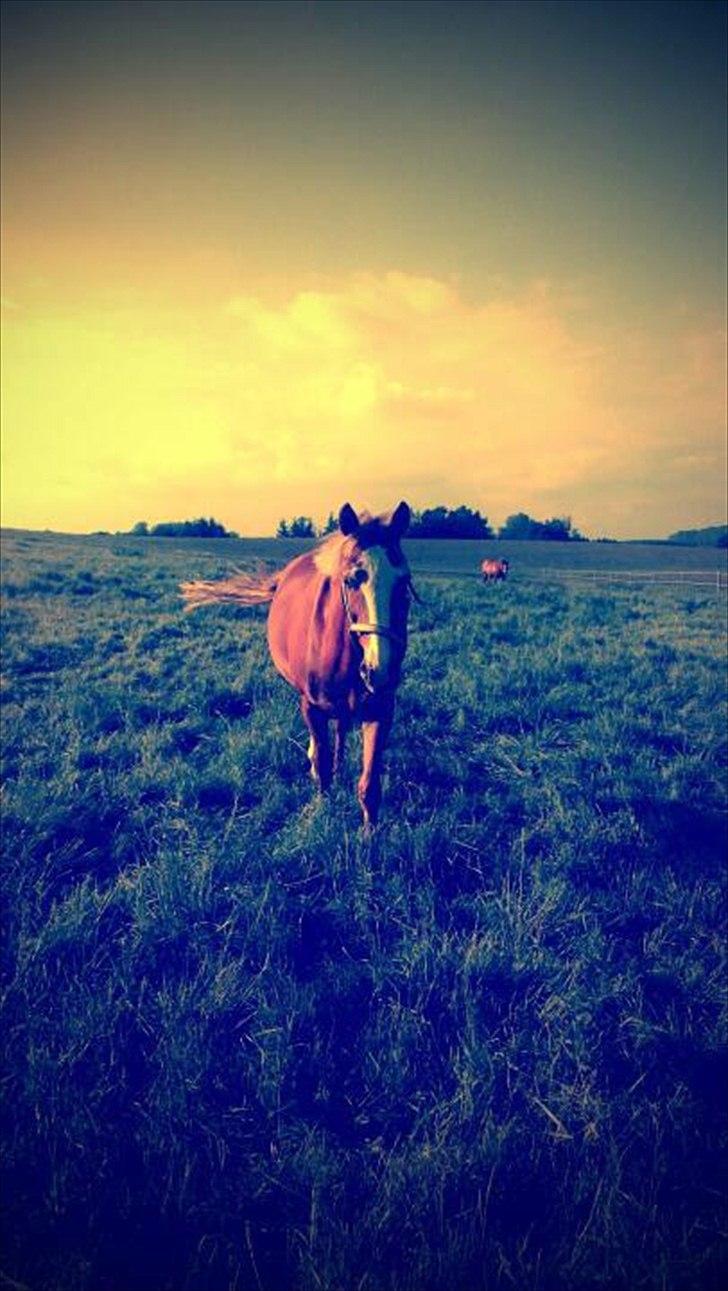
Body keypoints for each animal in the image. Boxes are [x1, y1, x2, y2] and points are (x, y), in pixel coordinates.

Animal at [181, 502, 414, 828]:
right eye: (351, 580)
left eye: (403, 582)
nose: (380, 670)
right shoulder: (311, 706)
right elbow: (323, 764)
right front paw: (324, 809)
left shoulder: (380, 710)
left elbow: (369, 786)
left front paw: (370, 836)